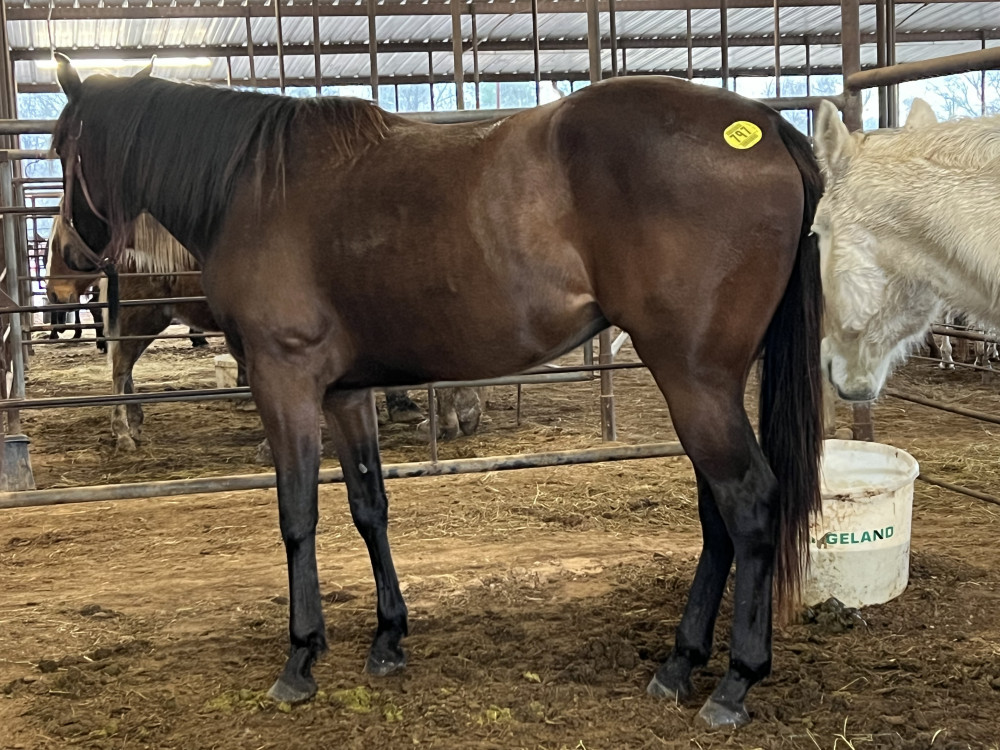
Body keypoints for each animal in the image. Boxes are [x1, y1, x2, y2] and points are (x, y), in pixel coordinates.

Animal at [51, 55, 823, 728]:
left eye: (61, 149)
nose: (66, 263)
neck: (252, 189)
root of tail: (763, 123)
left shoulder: (284, 382)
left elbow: (298, 515)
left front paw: (300, 658)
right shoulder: (344, 393)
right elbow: (369, 507)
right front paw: (387, 639)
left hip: (694, 380)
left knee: (749, 504)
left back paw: (734, 682)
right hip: (705, 382)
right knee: (718, 514)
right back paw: (679, 662)